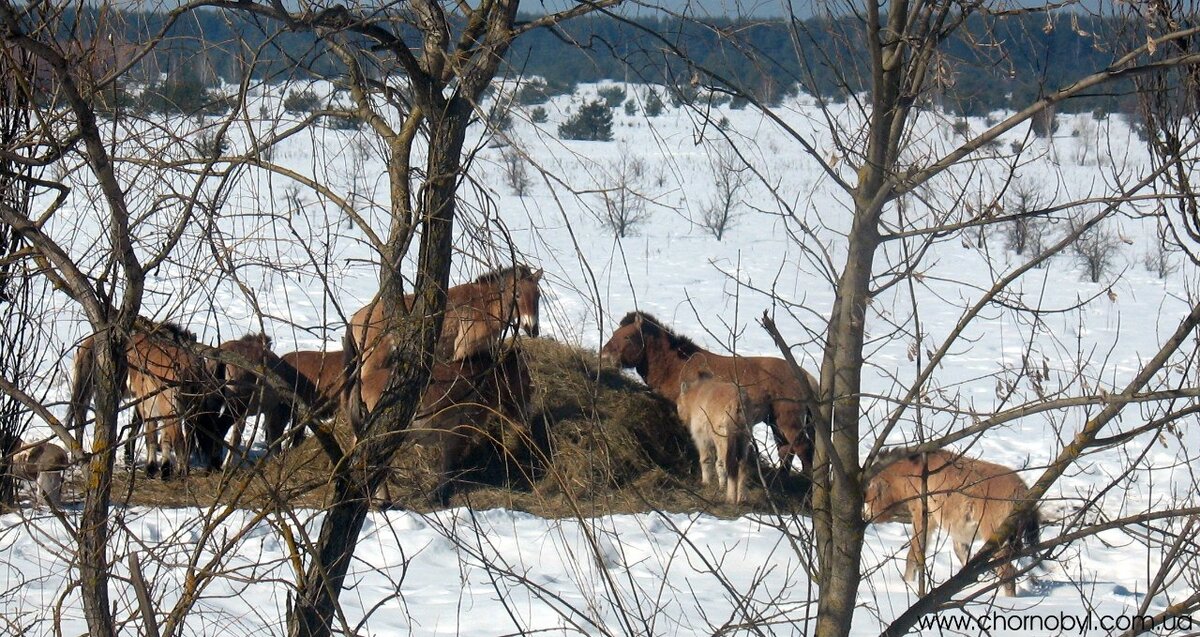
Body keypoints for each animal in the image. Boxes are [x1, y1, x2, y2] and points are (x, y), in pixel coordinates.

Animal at [68, 322, 230, 479]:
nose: (216, 464)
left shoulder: (151, 406)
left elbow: (152, 433)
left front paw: (157, 467)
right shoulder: (150, 406)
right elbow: (152, 434)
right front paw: (155, 467)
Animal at [600, 311, 818, 474]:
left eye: (627, 336)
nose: (604, 356)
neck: (676, 366)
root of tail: (804, 375)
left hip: (788, 421)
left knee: (803, 449)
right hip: (775, 422)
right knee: (786, 451)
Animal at [677, 376, 766, 504]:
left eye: (678, 403)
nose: (681, 420)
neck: (696, 395)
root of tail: (737, 401)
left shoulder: (703, 438)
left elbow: (706, 459)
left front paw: (706, 482)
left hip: (723, 440)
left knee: (728, 464)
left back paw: (730, 497)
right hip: (744, 438)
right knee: (742, 465)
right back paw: (741, 497)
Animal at [863, 449, 1041, 597]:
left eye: (870, 486)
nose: (866, 516)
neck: (915, 471)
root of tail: (1022, 490)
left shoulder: (923, 520)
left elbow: (913, 555)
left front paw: (908, 582)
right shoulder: (957, 531)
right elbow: (962, 555)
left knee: (1008, 573)